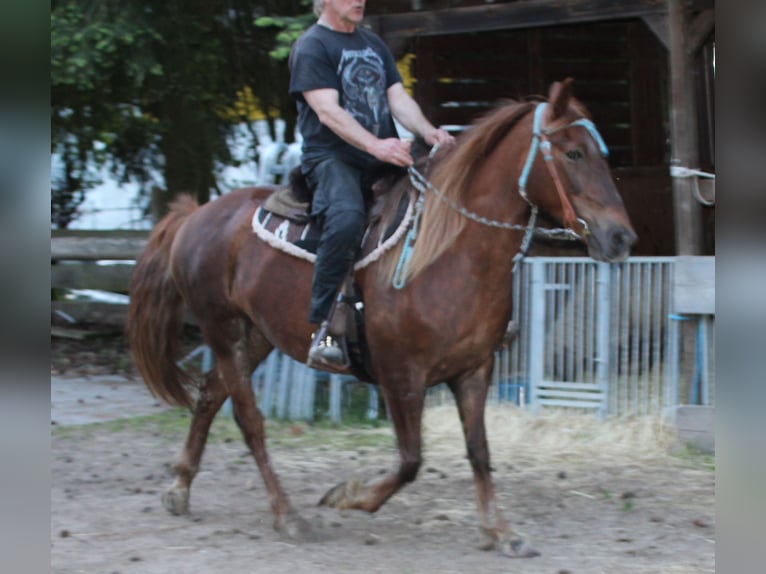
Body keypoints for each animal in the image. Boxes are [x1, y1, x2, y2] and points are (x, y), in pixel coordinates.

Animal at [129, 81, 640, 560]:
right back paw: (287, 515)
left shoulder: (475, 370)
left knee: (209, 396)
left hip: (255, 337)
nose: (621, 237)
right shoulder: (401, 376)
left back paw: (180, 488)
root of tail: (196, 216)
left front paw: (501, 531)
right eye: (573, 152)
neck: (452, 254)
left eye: (600, 152)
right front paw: (348, 496)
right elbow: (411, 460)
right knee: (248, 419)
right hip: (224, 330)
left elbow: (479, 451)